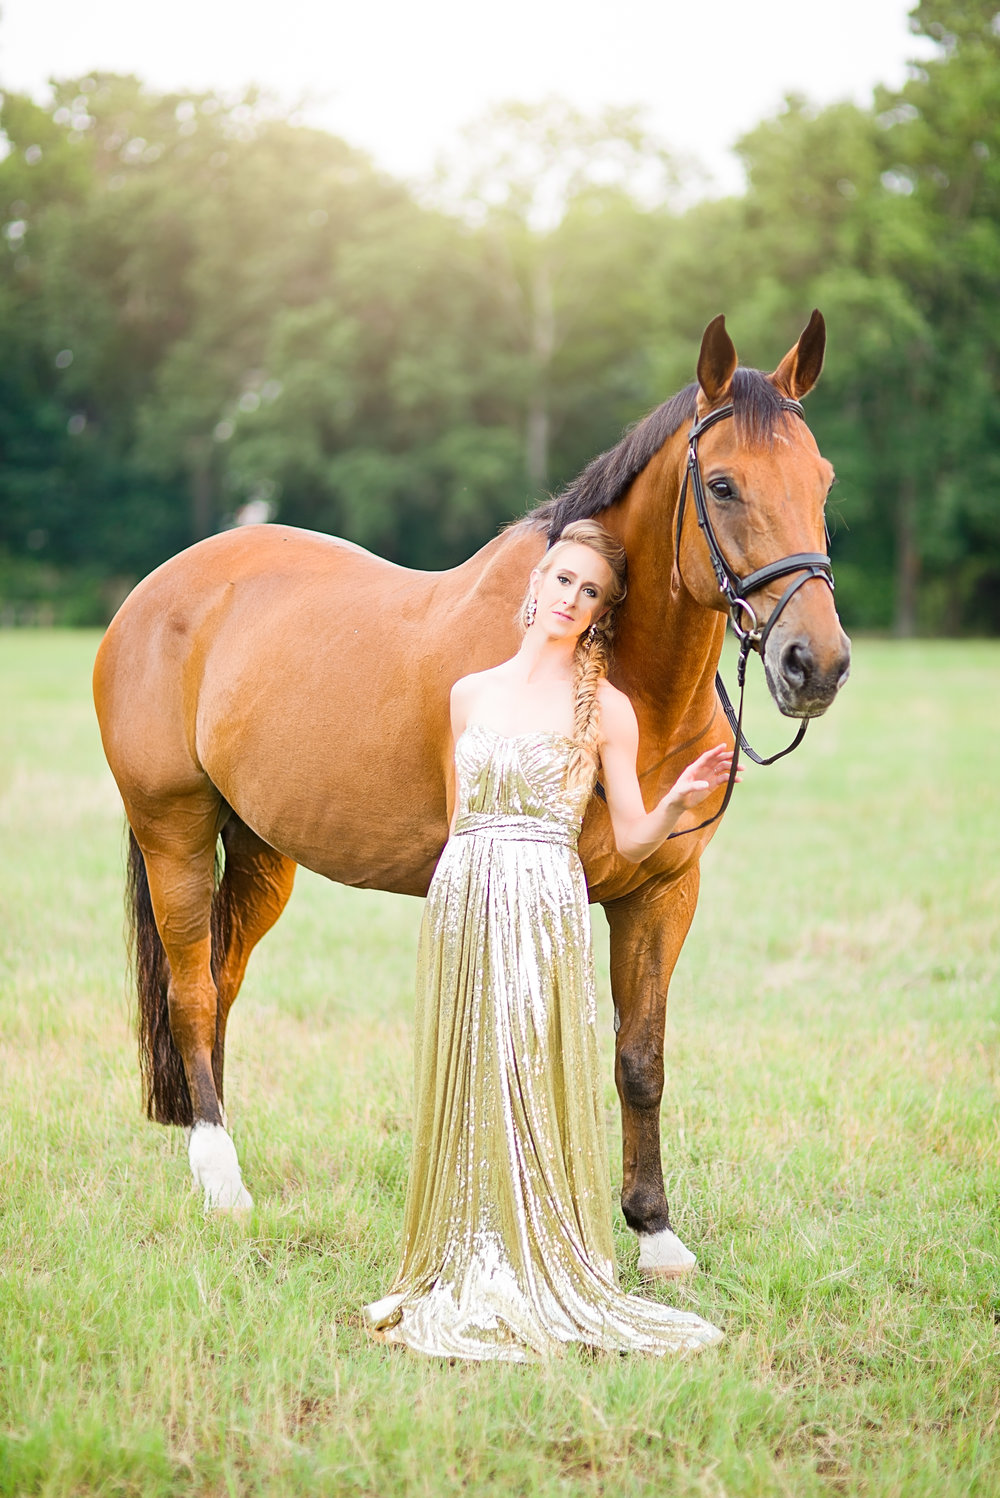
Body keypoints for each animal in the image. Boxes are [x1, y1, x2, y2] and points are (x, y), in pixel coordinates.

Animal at [93, 313, 850, 1276]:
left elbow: (639, 1058)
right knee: (190, 989)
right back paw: (224, 1184)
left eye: (822, 481)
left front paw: (654, 1231)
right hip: (175, 830)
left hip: (262, 853)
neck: (615, 675)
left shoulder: (663, 894)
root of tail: (158, 590)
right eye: (722, 485)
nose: (815, 664)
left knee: (221, 980)